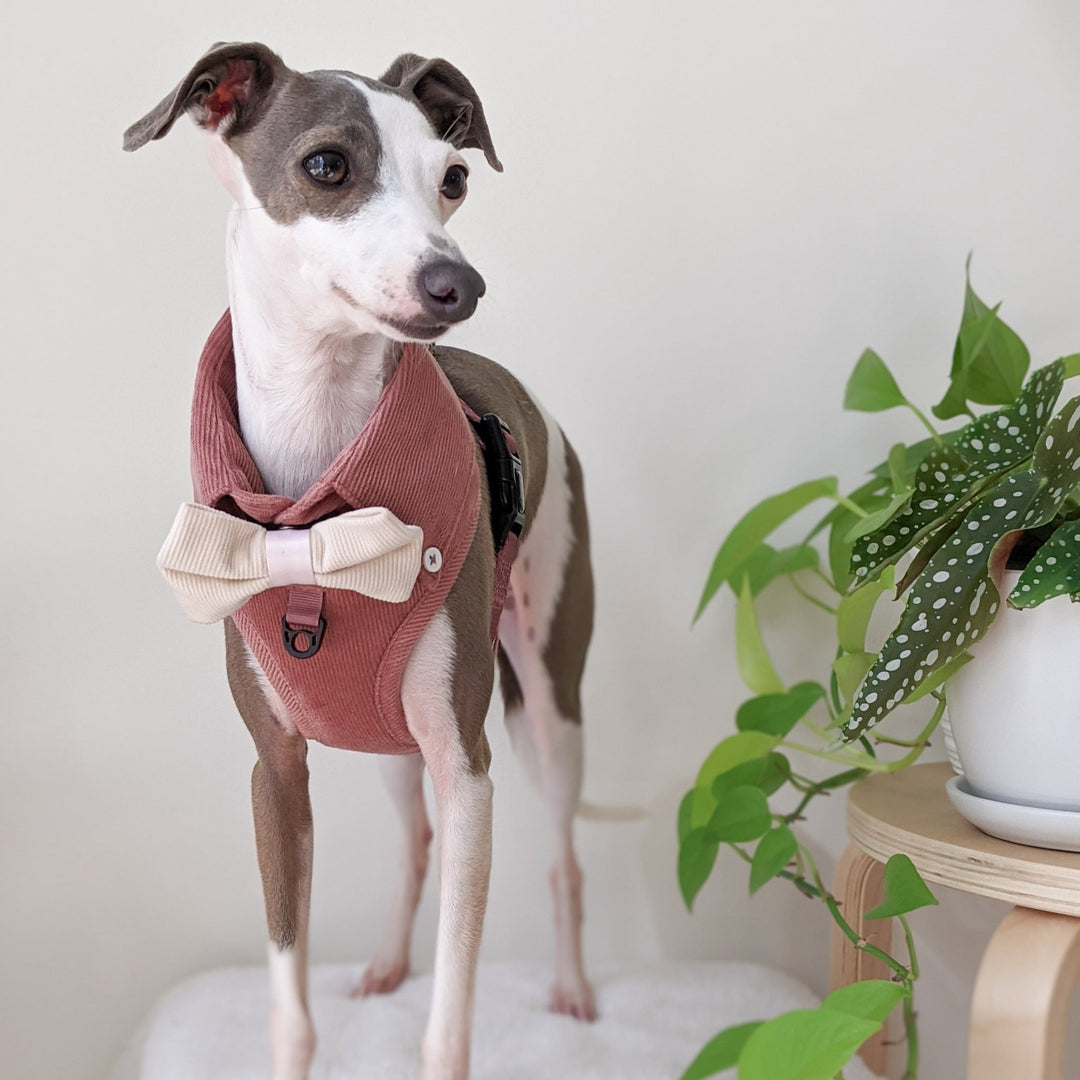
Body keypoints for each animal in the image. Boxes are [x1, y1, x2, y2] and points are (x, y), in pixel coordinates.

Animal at [127, 39, 600, 1080]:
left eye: (453, 178)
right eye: (327, 165)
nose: (456, 285)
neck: (313, 503)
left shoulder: (470, 771)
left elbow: (449, 1024)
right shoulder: (274, 775)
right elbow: (291, 1004)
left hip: (547, 705)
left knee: (559, 853)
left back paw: (575, 987)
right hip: (388, 742)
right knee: (413, 842)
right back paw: (385, 962)